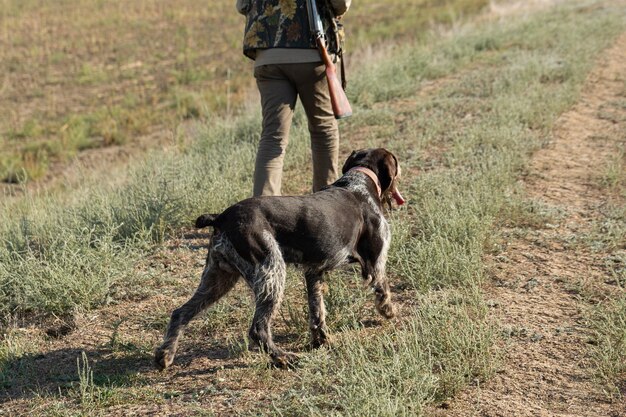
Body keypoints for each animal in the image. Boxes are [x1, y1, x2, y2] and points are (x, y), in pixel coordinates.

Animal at [154, 149, 402, 368]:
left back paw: (165, 355)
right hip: (271, 271)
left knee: (180, 313)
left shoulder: (314, 272)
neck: (358, 182)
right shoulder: (374, 264)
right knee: (258, 329)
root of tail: (222, 217)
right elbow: (384, 291)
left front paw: (320, 340)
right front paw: (390, 312)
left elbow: (317, 311)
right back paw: (283, 358)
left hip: (218, 278)